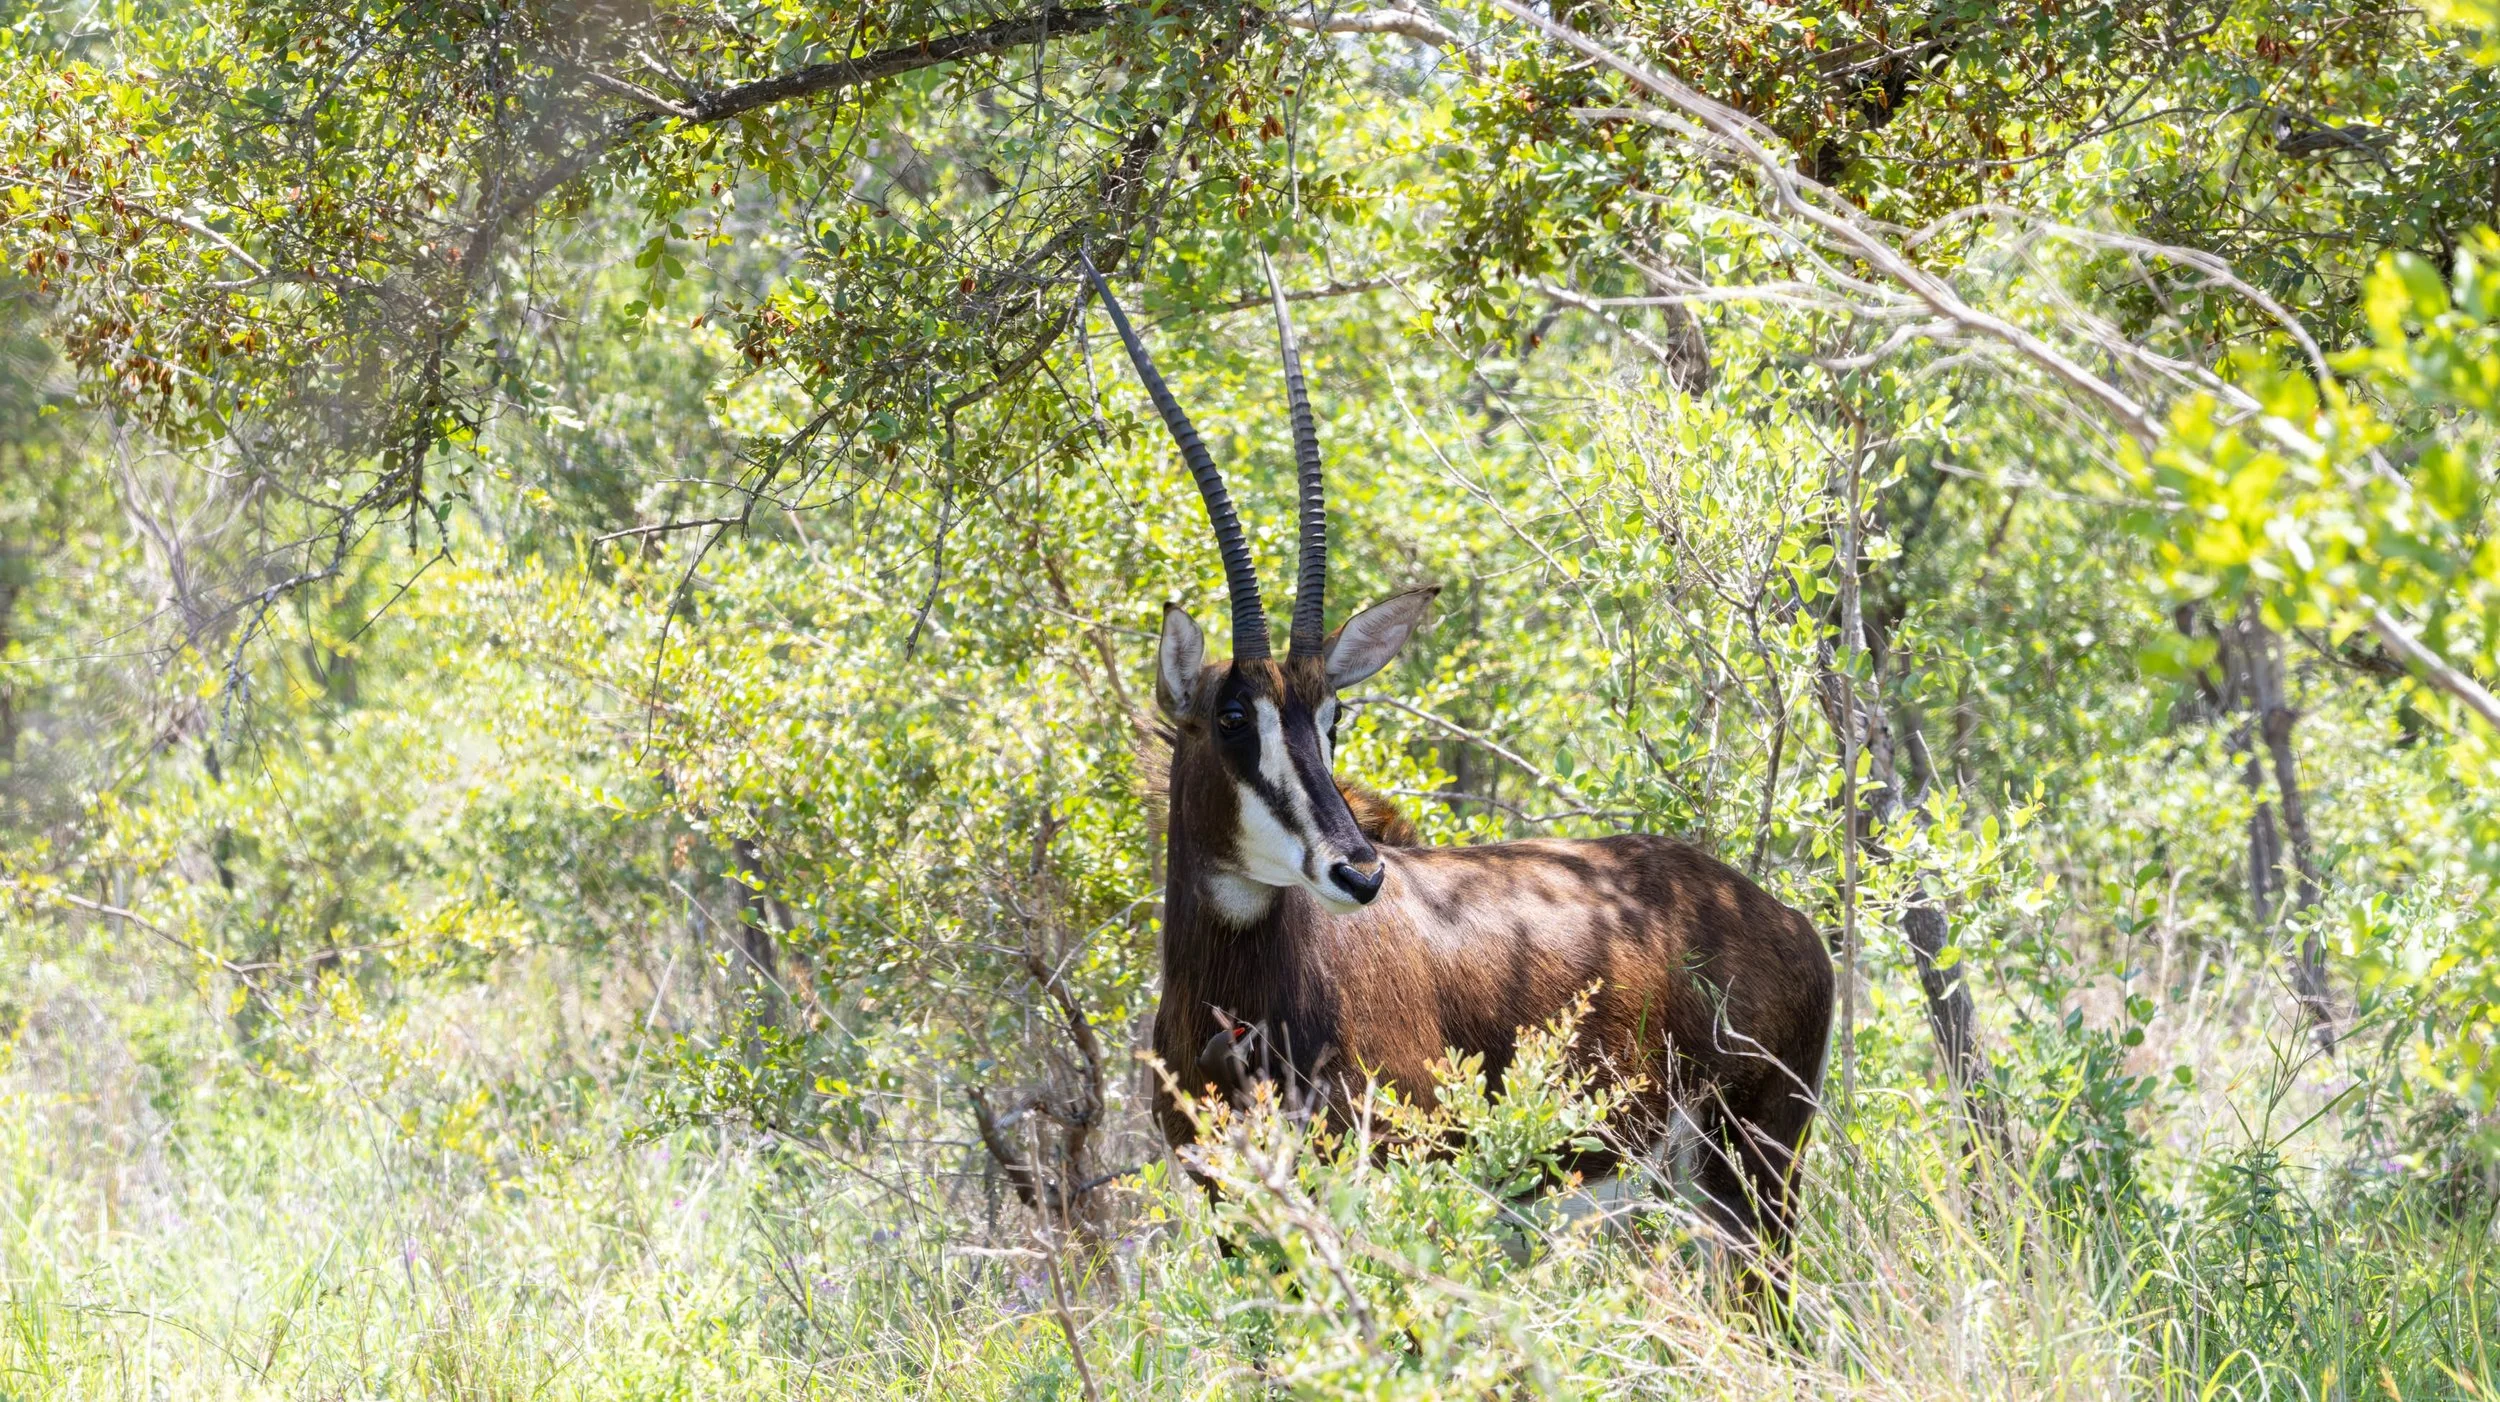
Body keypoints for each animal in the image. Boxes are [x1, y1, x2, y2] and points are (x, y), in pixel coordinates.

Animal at [1077, 254, 1834, 1268]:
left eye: (1333, 715)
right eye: (1233, 715)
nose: (1357, 872)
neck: (1236, 994)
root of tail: (1783, 919)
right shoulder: (1231, 1207)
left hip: (1752, 1167)